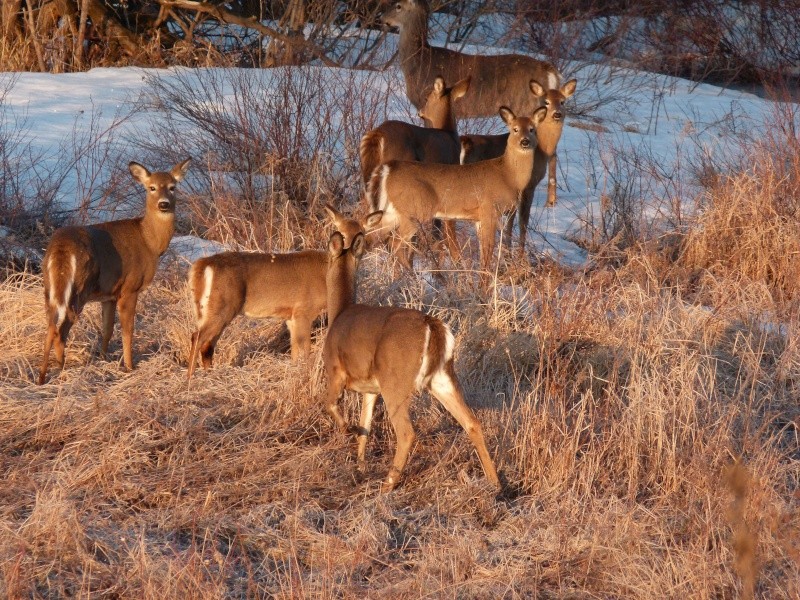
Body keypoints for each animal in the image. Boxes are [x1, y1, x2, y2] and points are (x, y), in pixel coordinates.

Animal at [38, 158, 192, 384]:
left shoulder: (109, 294)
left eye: (173, 187)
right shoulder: (130, 287)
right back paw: (60, 369)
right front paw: (129, 366)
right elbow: (128, 330)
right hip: (79, 288)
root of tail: (61, 248)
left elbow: (107, 329)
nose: (163, 204)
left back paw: (43, 376)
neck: (150, 242)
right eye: (151, 187)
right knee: (61, 330)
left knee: (51, 325)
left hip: (50, 288)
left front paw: (103, 358)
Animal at [185, 204, 384, 378]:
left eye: (362, 233)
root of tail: (201, 265)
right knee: (197, 337)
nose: (351, 249)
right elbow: (304, 350)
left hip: (209, 309)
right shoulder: (303, 310)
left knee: (207, 345)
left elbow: (295, 352)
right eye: (341, 232)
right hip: (223, 305)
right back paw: (190, 379)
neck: (326, 274)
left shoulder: (290, 316)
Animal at [368, 107, 544, 274]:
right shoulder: (489, 210)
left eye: (532, 129)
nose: (525, 141)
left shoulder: (479, 218)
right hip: (414, 210)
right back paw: (412, 275)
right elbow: (488, 251)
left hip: (392, 211)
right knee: (395, 242)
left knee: (379, 236)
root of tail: (388, 169)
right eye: (515, 129)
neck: (507, 175)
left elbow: (484, 253)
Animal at [382, 0, 568, 206]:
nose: (382, 19)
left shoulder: (426, 105)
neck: (419, 63)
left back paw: (549, 200)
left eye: (398, 6)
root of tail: (550, 71)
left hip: (528, 107)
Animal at [460, 78, 580, 255]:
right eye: (546, 101)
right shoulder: (527, 186)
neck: (543, 150)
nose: (557, 114)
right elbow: (522, 221)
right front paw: (518, 254)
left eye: (562, 101)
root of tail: (465, 143)